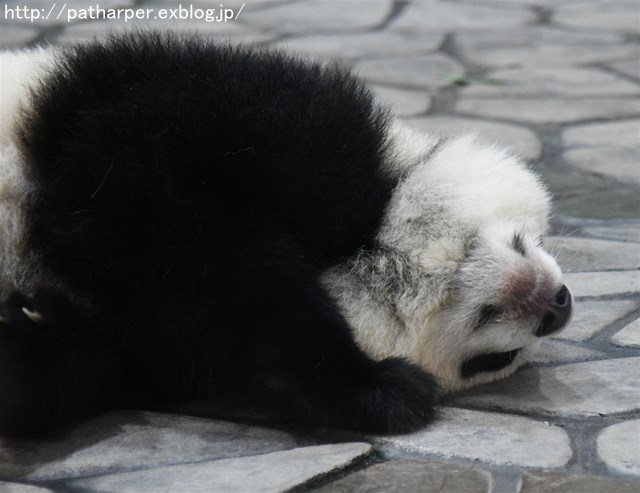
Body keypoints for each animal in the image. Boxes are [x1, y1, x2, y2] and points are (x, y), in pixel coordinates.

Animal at [0, 32, 572, 436]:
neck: (365, 253)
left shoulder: (147, 354)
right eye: (529, 240)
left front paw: (30, 324)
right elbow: (183, 248)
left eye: (493, 361)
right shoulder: (227, 119)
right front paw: (380, 388)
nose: (558, 306)